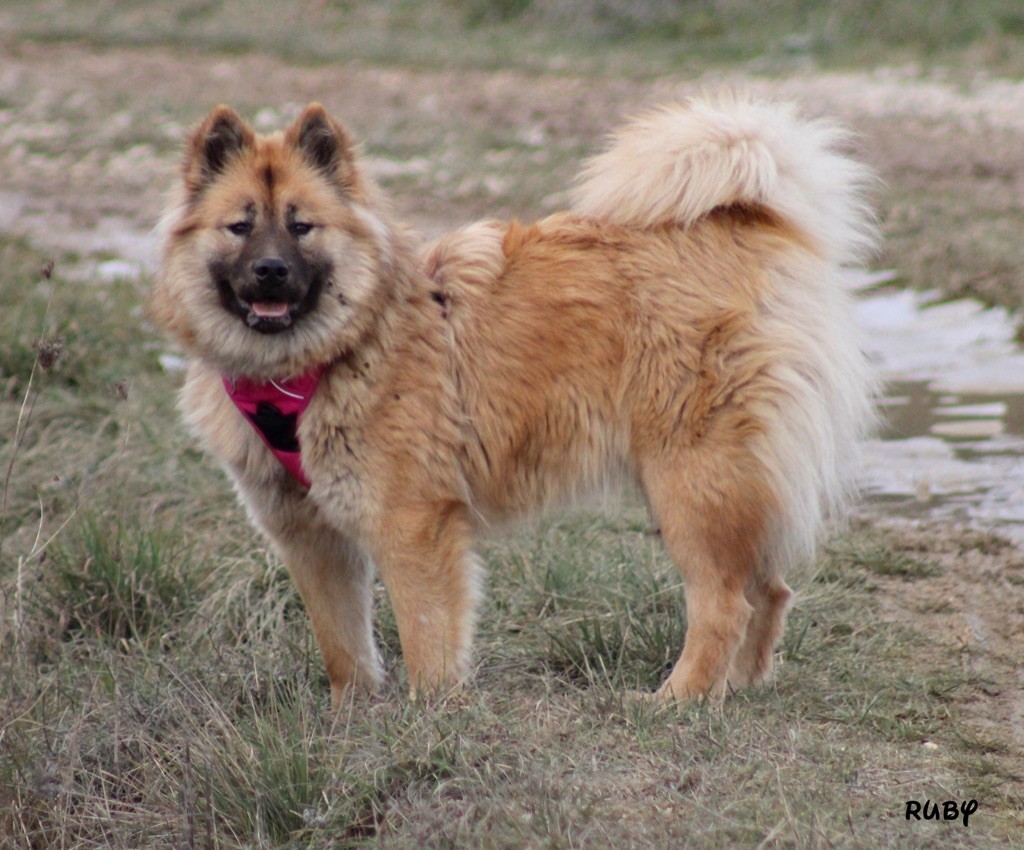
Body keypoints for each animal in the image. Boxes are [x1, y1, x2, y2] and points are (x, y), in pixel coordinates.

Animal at [149, 91, 872, 704]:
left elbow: (426, 637)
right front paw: (352, 716)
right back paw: (738, 689)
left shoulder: (413, 525)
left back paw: (680, 698)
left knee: (724, 604)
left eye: (302, 227)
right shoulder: (310, 536)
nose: (270, 272)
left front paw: (431, 715)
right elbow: (344, 647)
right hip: (722, 485)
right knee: (768, 591)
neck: (322, 360)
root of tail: (737, 226)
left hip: (689, 481)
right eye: (239, 226)